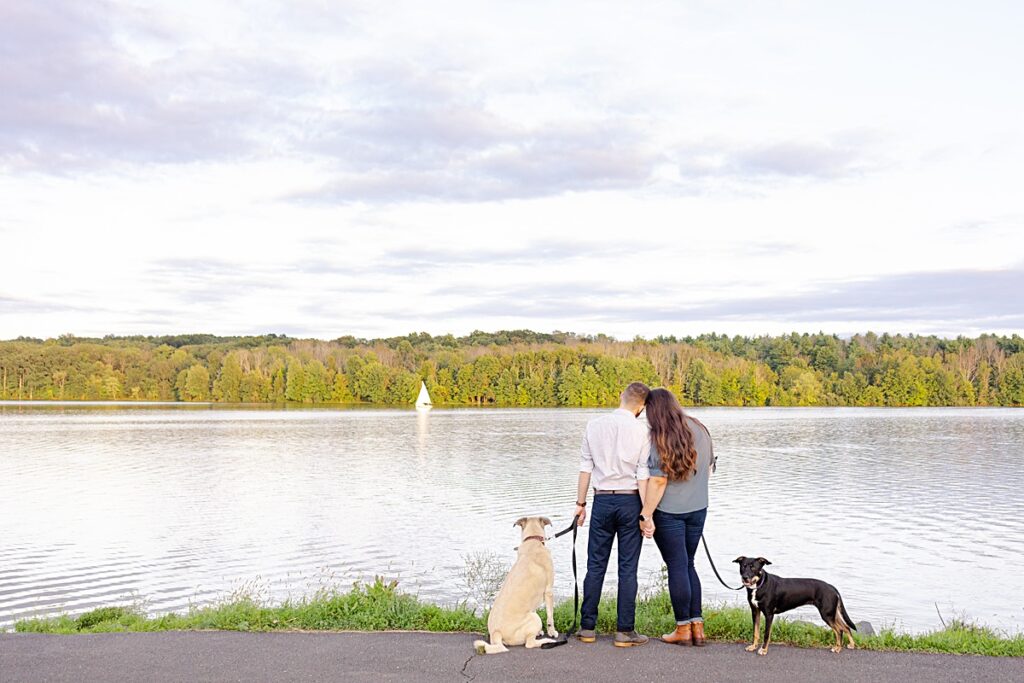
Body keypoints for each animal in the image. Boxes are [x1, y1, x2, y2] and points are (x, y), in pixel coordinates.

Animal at [473, 516, 561, 655]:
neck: (532, 541)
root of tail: (496, 633)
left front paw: (540, 631)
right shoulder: (549, 591)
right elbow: (550, 617)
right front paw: (552, 632)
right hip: (534, 618)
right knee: (529, 644)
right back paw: (547, 641)